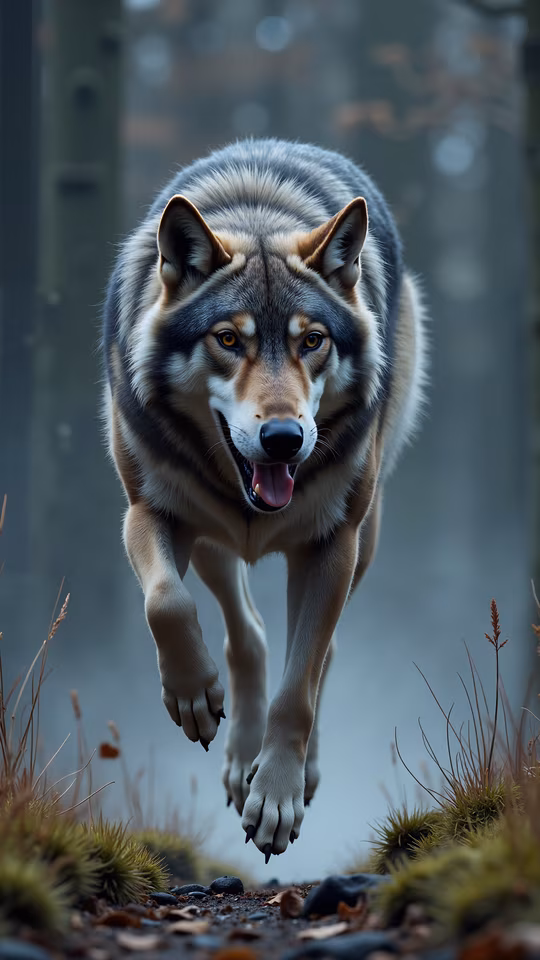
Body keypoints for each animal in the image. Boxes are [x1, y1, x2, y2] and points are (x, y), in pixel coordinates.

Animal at [103, 138, 427, 861]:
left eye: (312, 340)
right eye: (229, 339)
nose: (283, 439)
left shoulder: (332, 545)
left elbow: (298, 690)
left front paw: (277, 796)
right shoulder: (149, 513)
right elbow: (166, 603)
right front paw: (192, 695)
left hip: (364, 538)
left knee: (319, 656)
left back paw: (290, 768)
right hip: (212, 537)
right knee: (244, 629)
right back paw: (230, 745)